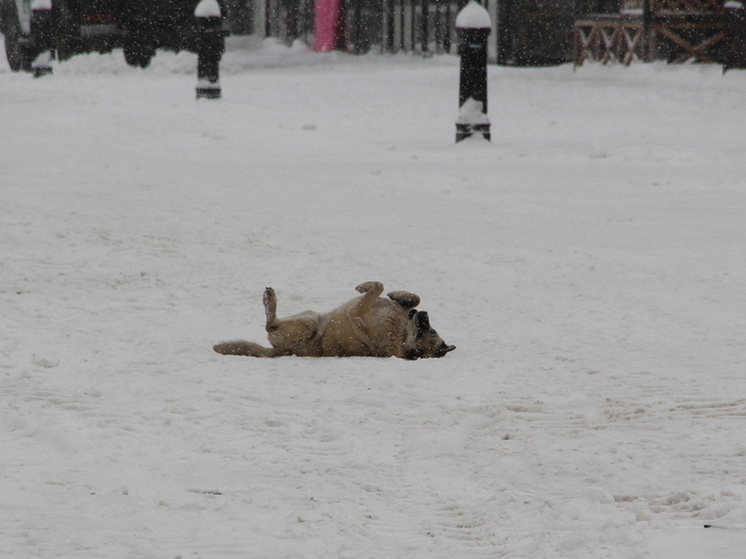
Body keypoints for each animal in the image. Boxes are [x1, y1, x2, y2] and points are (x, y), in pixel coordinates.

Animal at [211, 282, 454, 360]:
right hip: (310, 314)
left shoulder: (357, 311)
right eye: (431, 330)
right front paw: (399, 295)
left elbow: (377, 287)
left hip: (307, 324)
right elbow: (411, 297)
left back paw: (269, 300)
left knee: (270, 324)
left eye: (424, 334)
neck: (401, 333)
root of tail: (282, 352)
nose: (424, 315)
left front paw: (365, 286)